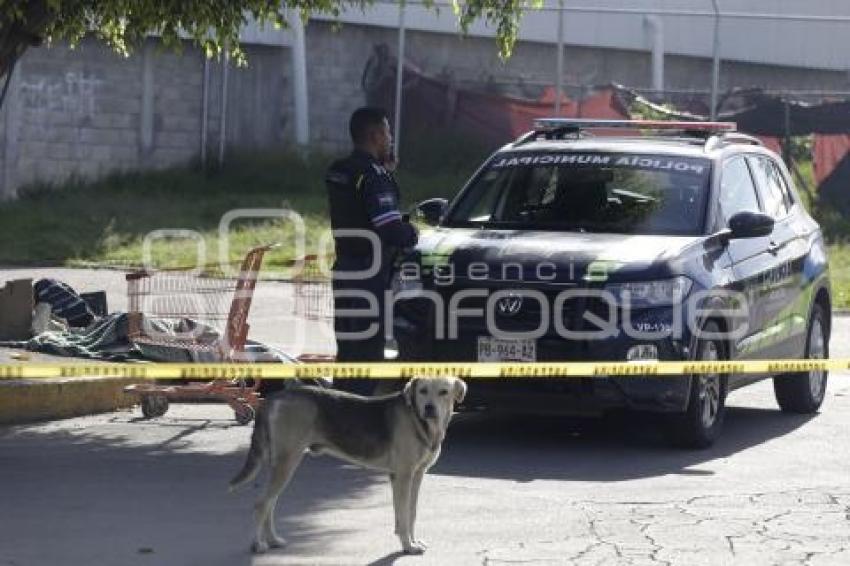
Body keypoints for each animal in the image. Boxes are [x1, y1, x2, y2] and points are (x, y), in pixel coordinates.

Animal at [229, 378, 468, 556]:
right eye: (422, 391)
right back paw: (258, 545)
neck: (418, 420)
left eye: (444, 392)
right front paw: (408, 546)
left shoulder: (415, 476)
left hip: (283, 464)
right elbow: (404, 514)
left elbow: (411, 513)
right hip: (287, 462)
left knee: (270, 503)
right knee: (262, 504)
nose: (429, 408)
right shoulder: (403, 476)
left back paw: (273, 540)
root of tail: (276, 396)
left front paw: (411, 540)